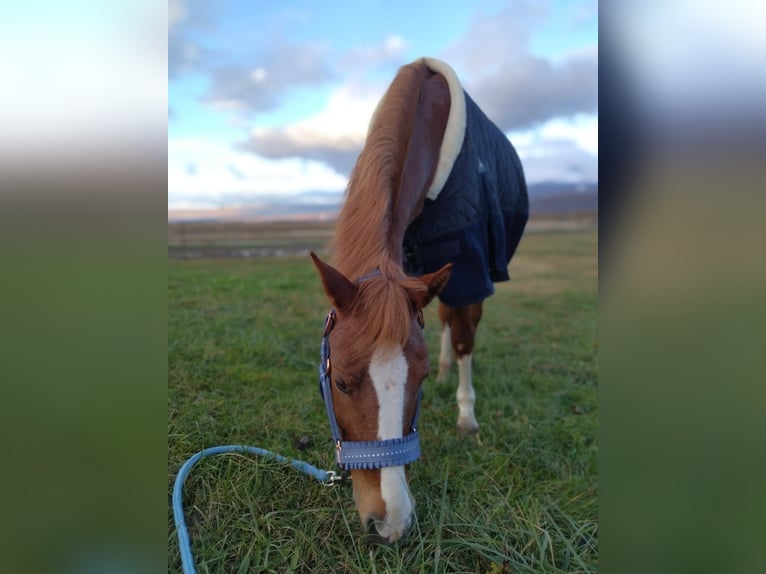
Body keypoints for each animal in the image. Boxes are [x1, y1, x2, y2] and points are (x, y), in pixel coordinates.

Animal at [311, 57, 528, 543]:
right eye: (342, 383)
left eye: (420, 380)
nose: (389, 522)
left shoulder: (468, 262)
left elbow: (465, 336)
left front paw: (465, 416)